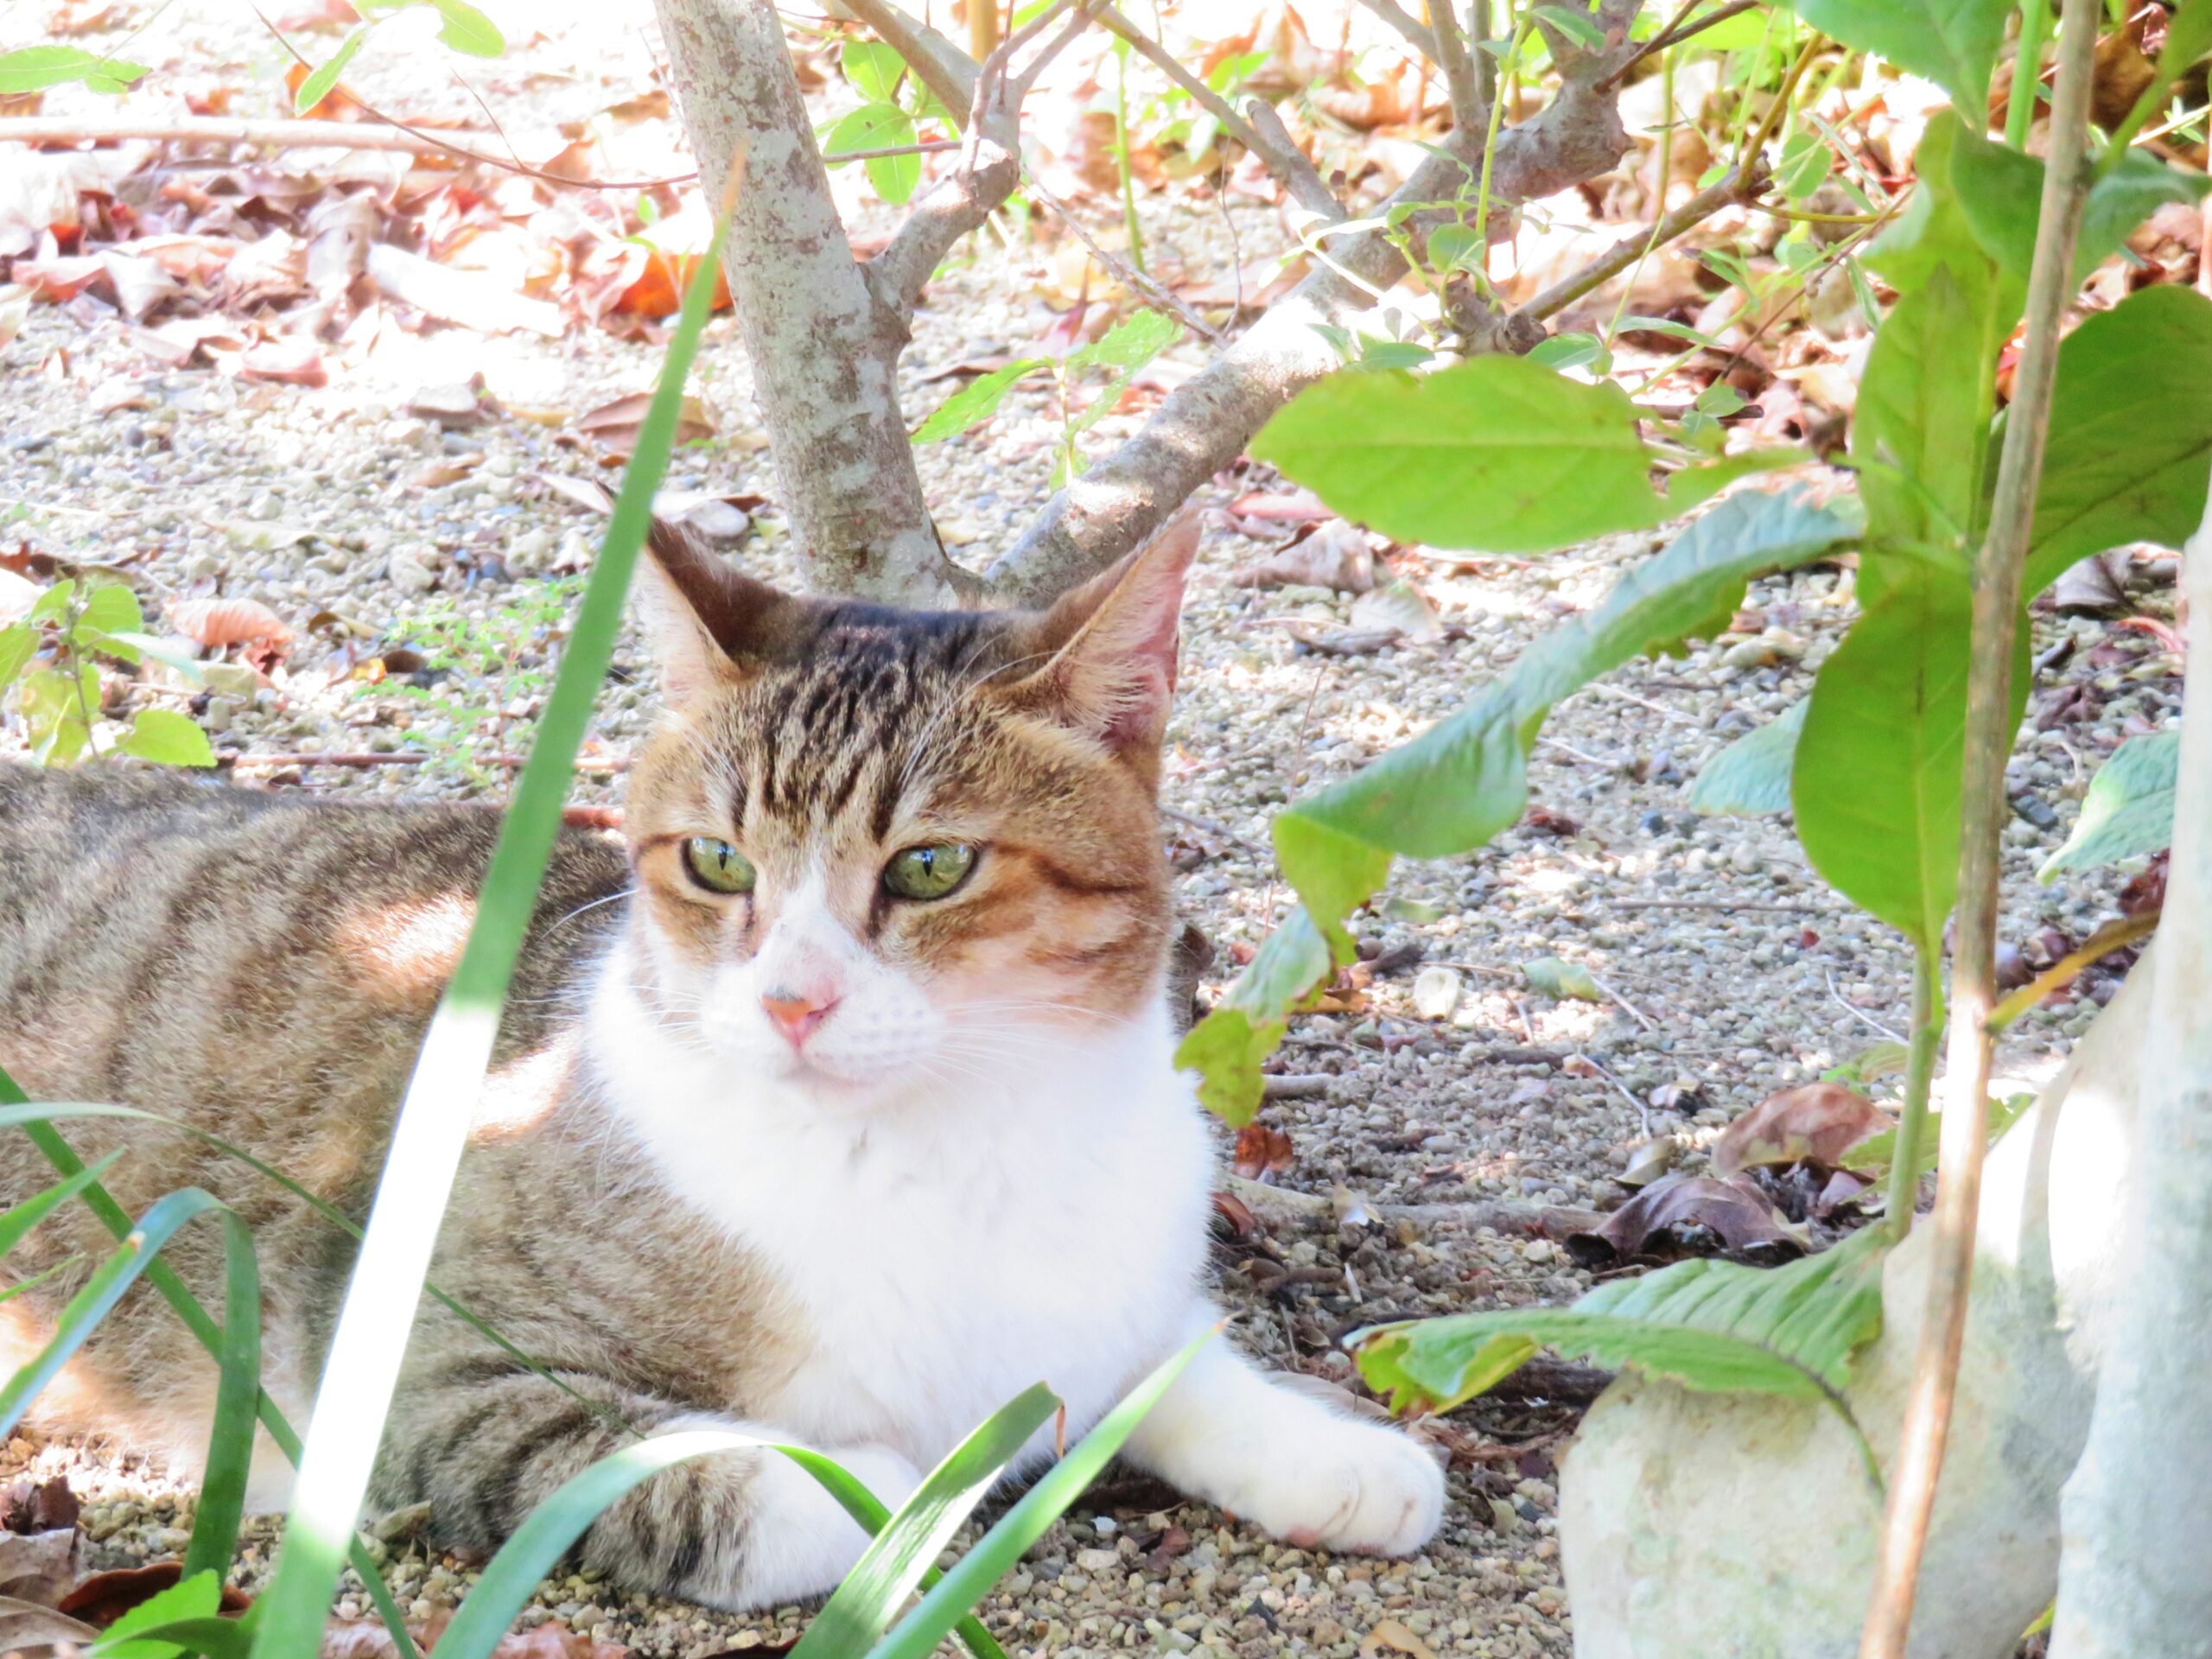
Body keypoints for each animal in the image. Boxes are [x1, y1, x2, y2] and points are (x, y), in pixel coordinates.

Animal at [0, 518, 1451, 1610]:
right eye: (715, 861)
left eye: (932, 867)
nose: (794, 1001)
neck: (949, 1140)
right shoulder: (401, 1364)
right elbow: (762, 1480)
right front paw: (902, 1488)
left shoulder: (1110, 1282)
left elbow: (1166, 1357)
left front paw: (1330, 1449)